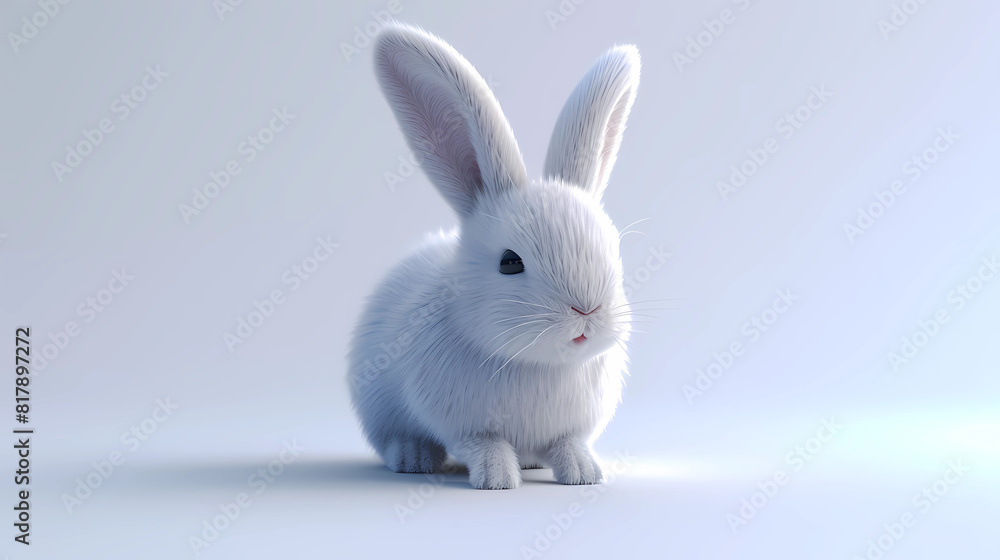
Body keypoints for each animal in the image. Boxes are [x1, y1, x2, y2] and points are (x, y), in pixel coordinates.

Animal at [348, 22, 640, 490]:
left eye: (612, 249)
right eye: (509, 262)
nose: (586, 311)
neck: (538, 365)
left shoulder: (572, 426)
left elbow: (568, 442)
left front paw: (583, 473)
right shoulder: (462, 424)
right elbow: (484, 444)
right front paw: (497, 479)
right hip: (378, 407)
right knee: (397, 436)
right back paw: (414, 458)